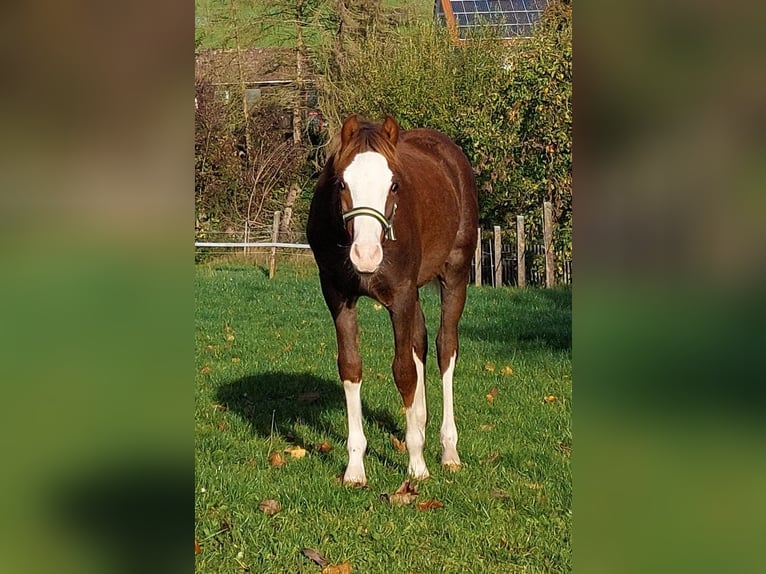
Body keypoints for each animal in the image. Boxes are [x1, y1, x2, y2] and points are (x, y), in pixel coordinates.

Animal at [307, 114, 478, 486]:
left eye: (395, 185)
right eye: (342, 184)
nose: (366, 255)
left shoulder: (400, 295)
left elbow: (403, 372)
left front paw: (417, 464)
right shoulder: (338, 296)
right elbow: (351, 367)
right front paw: (355, 468)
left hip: (455, 276)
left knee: (445, 348)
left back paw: (448, 450)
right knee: (420, 341)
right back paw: (421, 424)